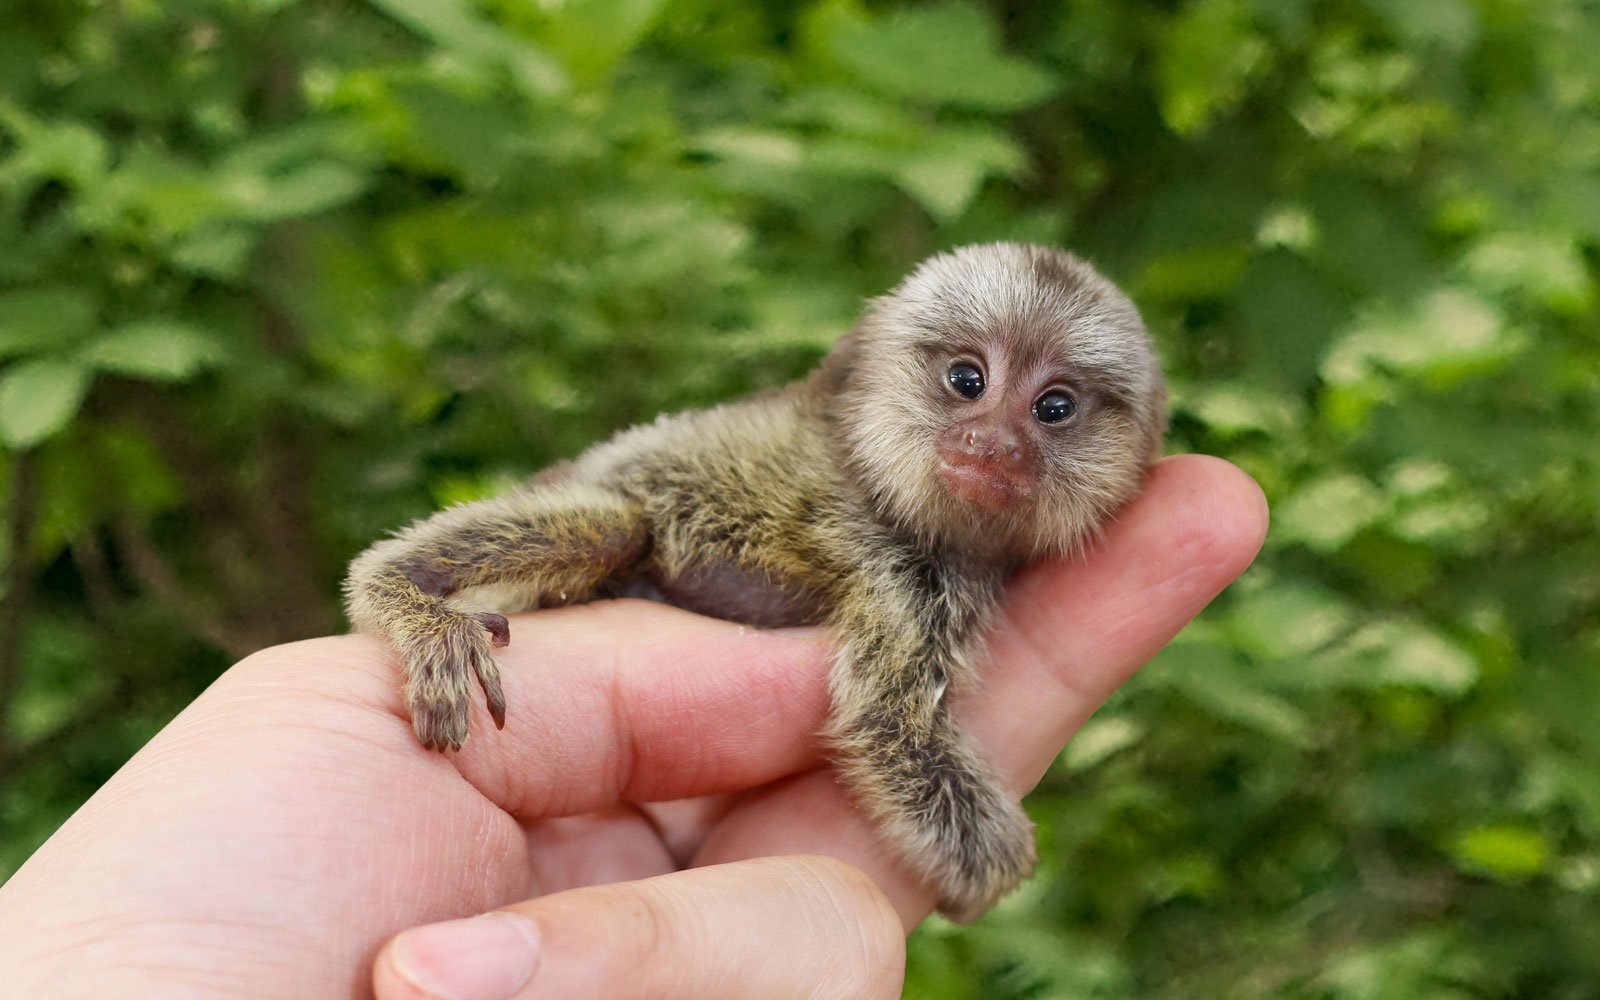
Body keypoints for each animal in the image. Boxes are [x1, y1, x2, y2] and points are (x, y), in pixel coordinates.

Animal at [344, 240, 1164, 915]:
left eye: (1053, 407)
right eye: (968, 380)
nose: (991, 444)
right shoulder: (897, 569)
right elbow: (888, 722)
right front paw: (994, 868)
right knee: (616, 524)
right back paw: (406, 601)